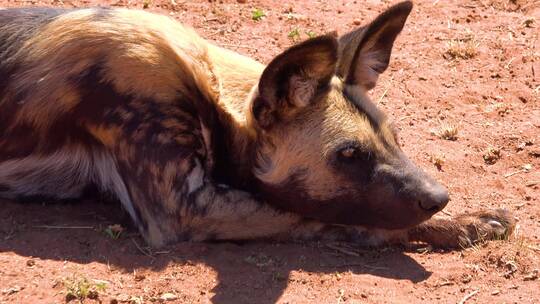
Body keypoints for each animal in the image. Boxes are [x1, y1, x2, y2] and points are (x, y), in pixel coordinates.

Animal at [0, 1, 516, 247]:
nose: (438, 197)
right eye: (350, 154)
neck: (206, 87)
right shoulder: (183, 209)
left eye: (395, 138)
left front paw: (461, 219)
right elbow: (332, 214)